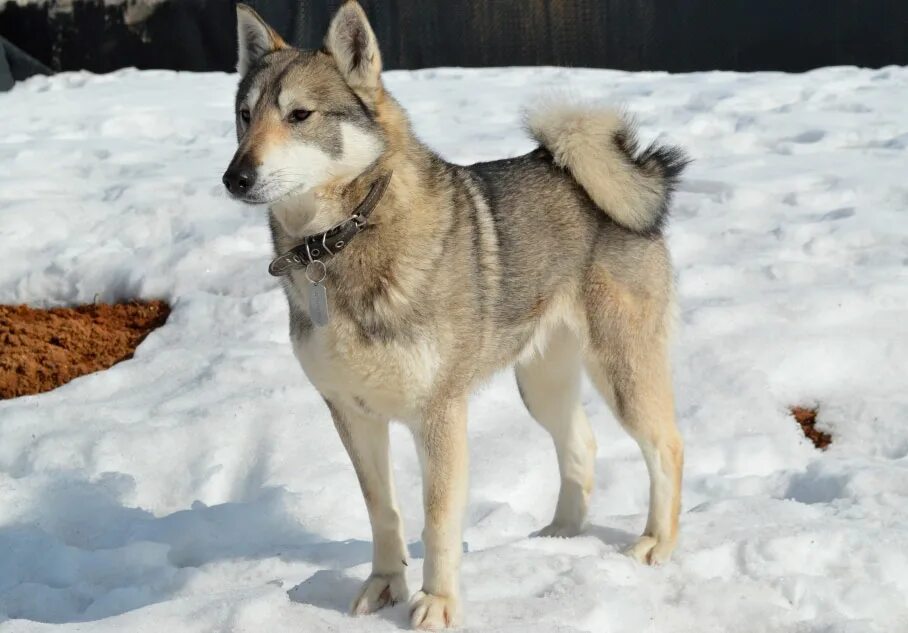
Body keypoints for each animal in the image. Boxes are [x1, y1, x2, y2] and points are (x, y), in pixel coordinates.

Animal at [222, 3, 688, 628]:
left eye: (299, 115)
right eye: (244, 117)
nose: (235, 177)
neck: (341, 241)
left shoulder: (438, 413)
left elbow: (438, 518)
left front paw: (437, 602)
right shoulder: (350, 413)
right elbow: (383, 509)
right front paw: (384, 585)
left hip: (621, 371)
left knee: (667, 447)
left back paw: (656, 542)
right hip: (540, 383)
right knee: (581, 447)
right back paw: (560, 536)